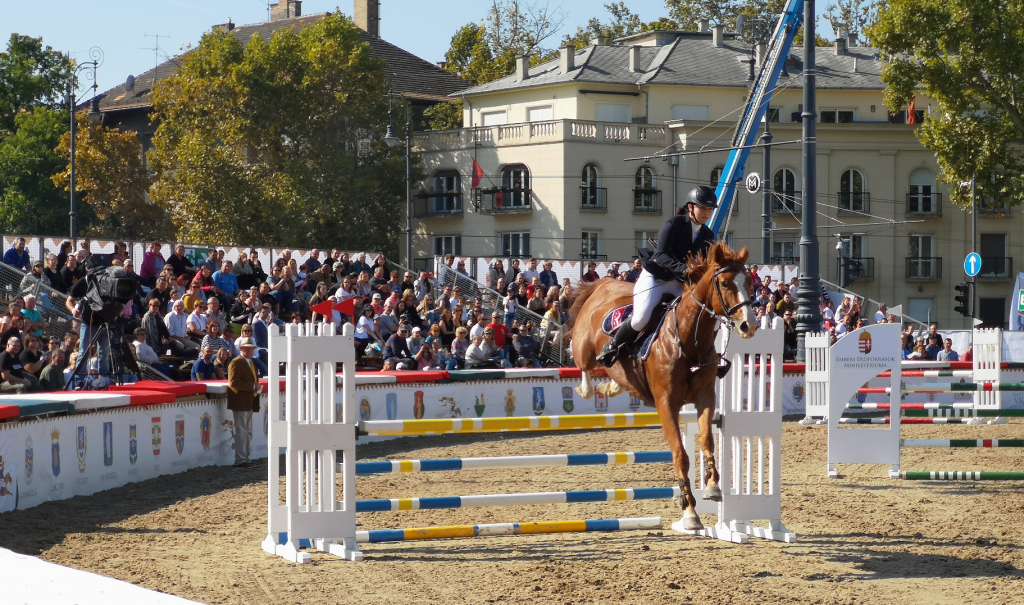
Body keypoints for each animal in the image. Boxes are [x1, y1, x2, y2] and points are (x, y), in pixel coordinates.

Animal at [573, 243, 757, 532]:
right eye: (725, 283)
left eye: (749, 283)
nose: (749, 325)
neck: (688, 339)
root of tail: (604, 284)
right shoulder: (666, 403)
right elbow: (680, 455)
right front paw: (690, 512)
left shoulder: (706, 397)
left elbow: (706, 439)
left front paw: (712, 487)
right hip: (583, 348)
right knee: (584, 364)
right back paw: (592, 386)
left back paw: (612, 387)